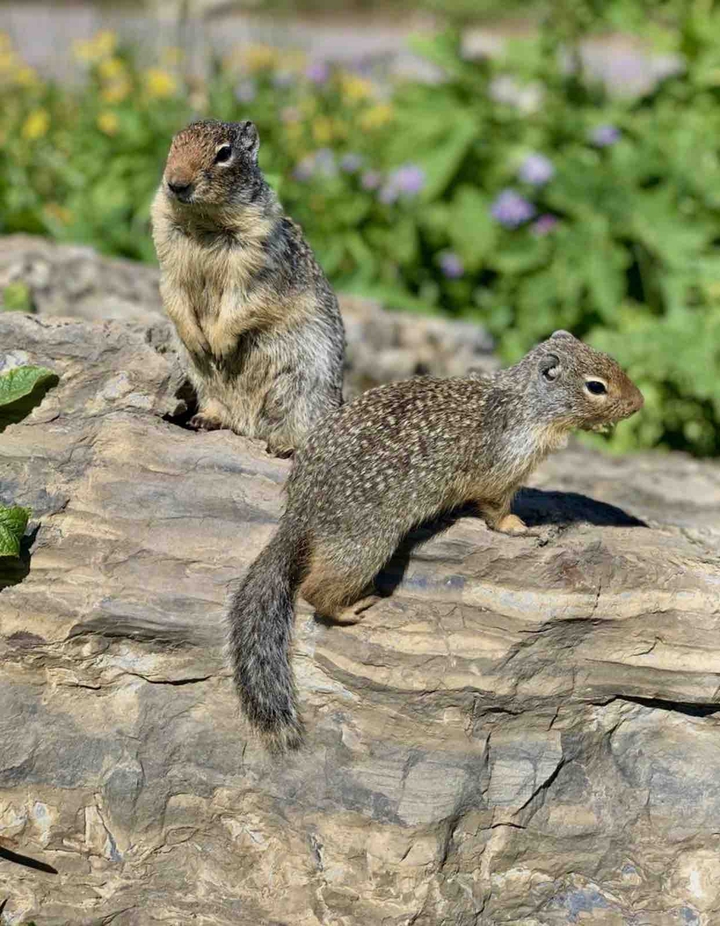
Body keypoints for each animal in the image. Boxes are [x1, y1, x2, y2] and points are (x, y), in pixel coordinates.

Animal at [151, 119, 345, 456]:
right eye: (174, 144)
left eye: (224, 153)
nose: (176, 183)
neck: (204, 221)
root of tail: (250, 429)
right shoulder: (168, 257)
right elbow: (173, 295)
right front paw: (198, 339)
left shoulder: (259, 263)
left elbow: (245, 302)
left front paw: (219, 342)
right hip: (202, 379)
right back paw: (205, 419)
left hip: (304, 385)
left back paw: (285, 446)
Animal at [226, 330, 644, 751]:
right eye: (596, 386)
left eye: (612, 360)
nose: (639, 403)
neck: (524, 405)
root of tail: (298, 510)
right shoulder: (500, 472)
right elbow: (496, 509)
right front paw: (520, 526)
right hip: (366, 543)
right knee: (316, 589)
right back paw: (350, 609)